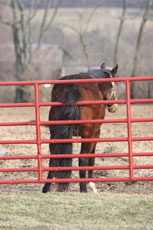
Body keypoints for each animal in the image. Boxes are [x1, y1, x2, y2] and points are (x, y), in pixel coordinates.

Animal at [42, 62, 119, 192]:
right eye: (115, 85)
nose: (114, 106)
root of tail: (74, 89)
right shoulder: (96, 133)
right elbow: (91, 157)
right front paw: (91, 184)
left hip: (54, 134)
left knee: (54, 157)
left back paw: (46, 187)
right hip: (87, 134)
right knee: (82, 158)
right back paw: (83, 188)